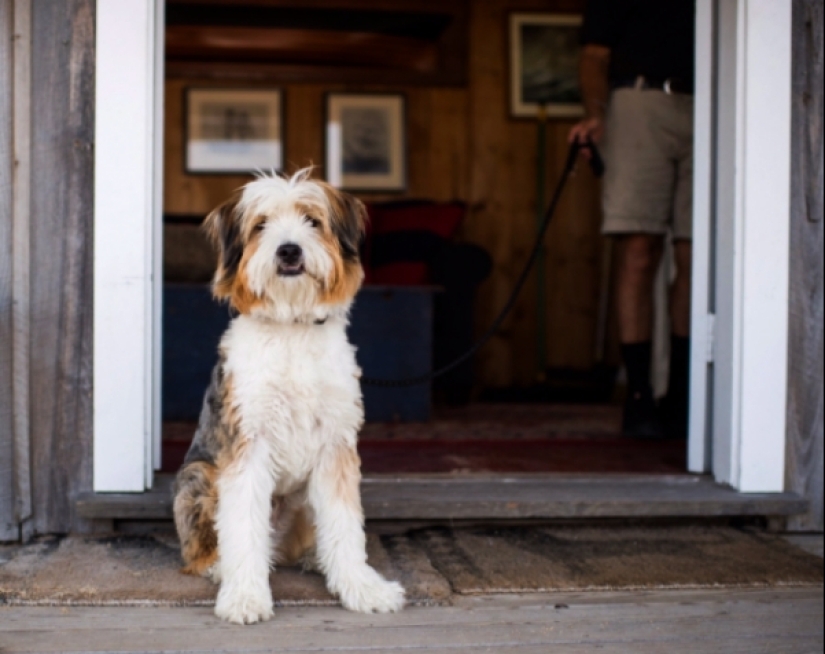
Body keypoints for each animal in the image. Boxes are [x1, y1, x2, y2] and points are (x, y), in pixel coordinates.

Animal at [174, 169, 406, 624]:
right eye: (261, 225)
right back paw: (219, 567)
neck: (292, 326)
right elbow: (243, 527)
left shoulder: (336, 446)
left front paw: (362, 588)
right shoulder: (246, 446)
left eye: (312, 221)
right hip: (200, 475)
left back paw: (318, 559)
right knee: (207, 549)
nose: (288, 250)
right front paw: (245, 597)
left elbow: (346, 526)